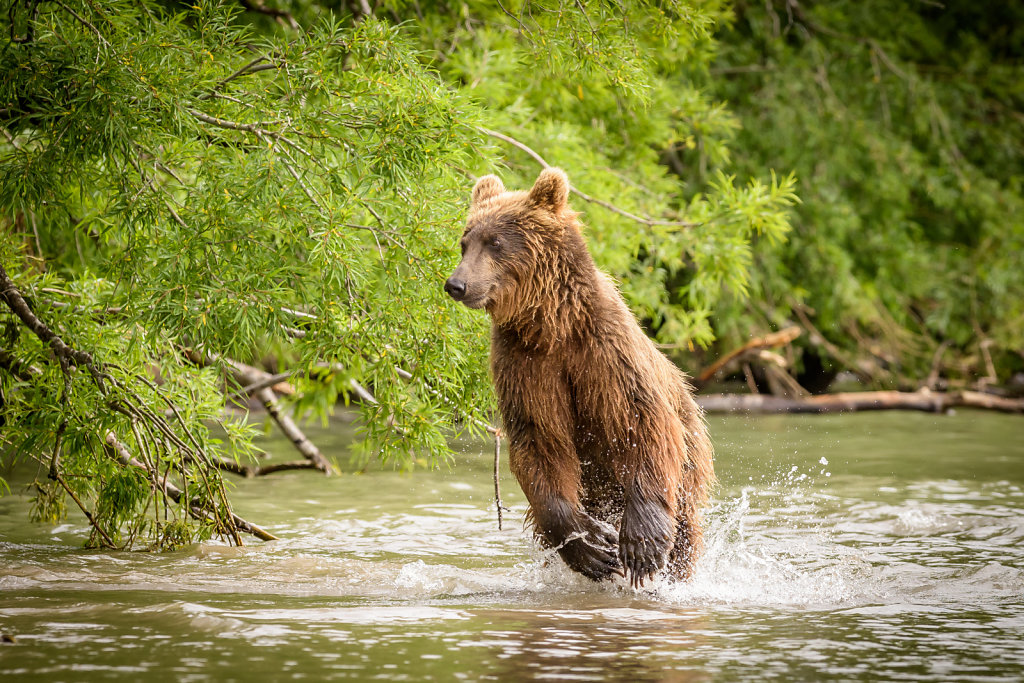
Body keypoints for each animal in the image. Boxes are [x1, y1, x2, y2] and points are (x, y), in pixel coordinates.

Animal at [444, 166, 716, 589]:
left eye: (495, 242)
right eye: (464, 242)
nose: (456, 284)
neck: (550, 324)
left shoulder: (604, 351)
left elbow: (643, 419)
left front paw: (641, 546)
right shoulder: (525, 365)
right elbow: (540, 440)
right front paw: (590, 545)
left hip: (690, 472)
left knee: (684, 539)